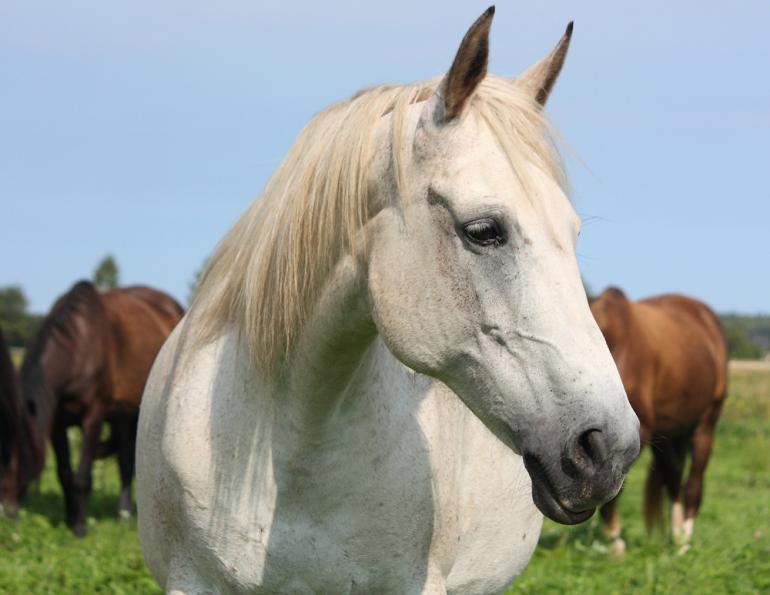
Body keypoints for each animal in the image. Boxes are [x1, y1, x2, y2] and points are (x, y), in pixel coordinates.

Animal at [20, 280, 183, 536]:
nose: (8, 513)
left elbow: (82, 476)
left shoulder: (93, 416)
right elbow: (64, 473)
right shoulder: (57, 422)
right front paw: (69, 519)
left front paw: (79, 526)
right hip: (123, 416)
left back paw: (125, 514)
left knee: (127, 463)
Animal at [590, 287, 728, 554]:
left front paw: (614, 541)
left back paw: (684, 541)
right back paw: (676, 535)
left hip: (705, 424)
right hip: (668, 434)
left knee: (693, 483)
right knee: (673, 478)